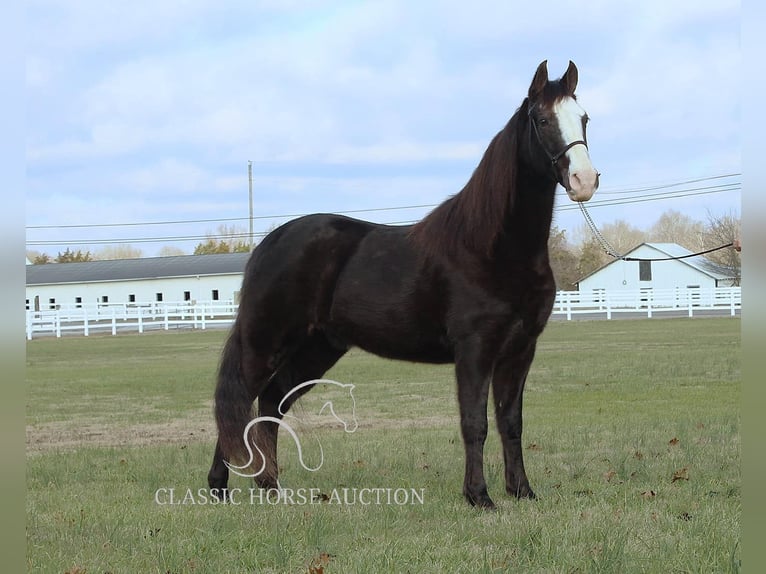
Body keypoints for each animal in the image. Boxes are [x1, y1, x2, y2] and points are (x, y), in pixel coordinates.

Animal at [208, 59, 600, 508]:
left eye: (584, 118)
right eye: (542, 119)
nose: (584, 179)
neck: (492, 247)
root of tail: (270, 242)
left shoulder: (520, 350)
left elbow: (511, 421)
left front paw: (522, 491)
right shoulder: (474, 350)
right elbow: (475, 423)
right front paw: (478, 496)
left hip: (317, 348)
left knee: (271, 402)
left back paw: (270, 486)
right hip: (266, 344)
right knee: (239, 403)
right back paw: (219, 487)